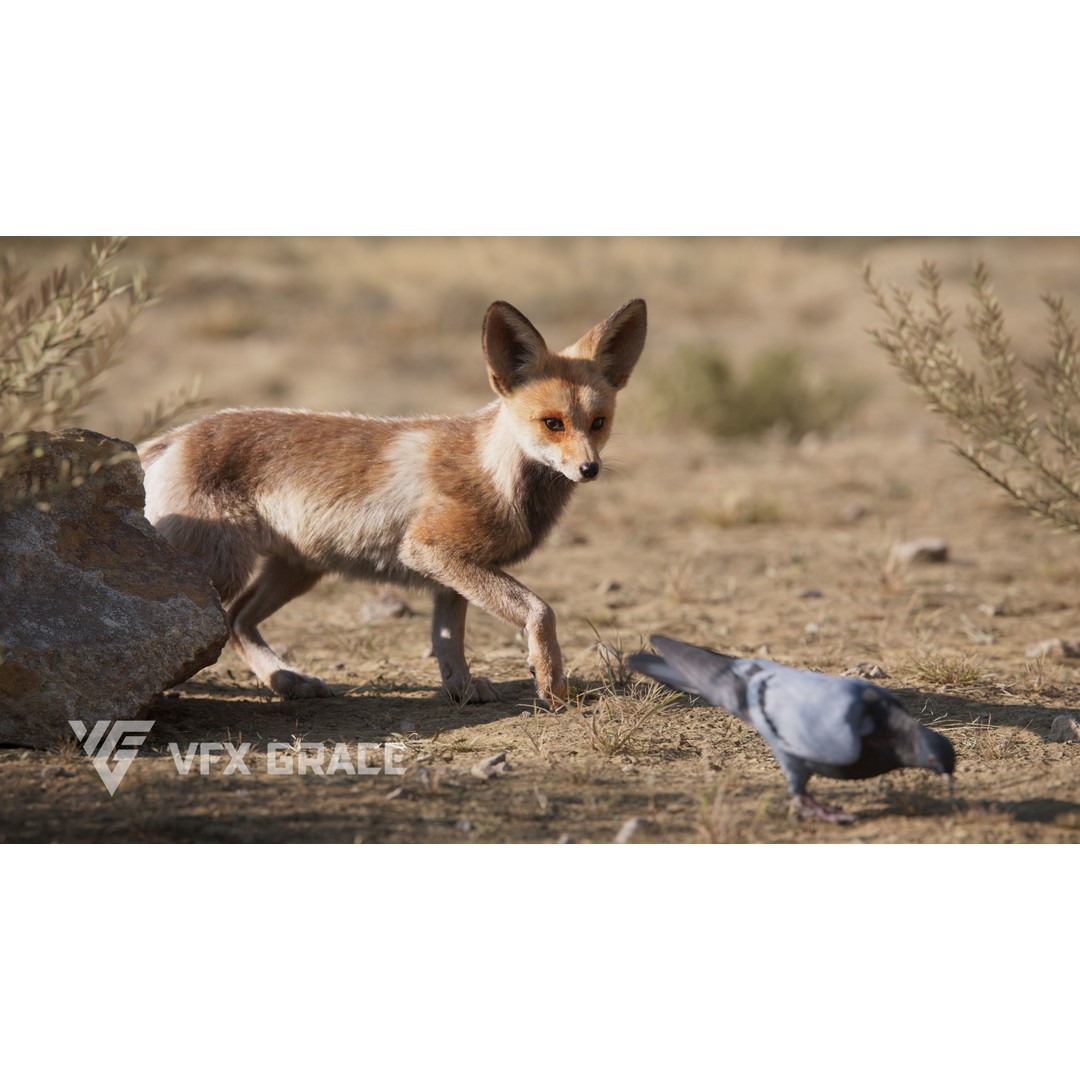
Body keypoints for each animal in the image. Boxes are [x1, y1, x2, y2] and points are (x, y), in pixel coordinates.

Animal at [138, 298, 647, 709]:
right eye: (552, 423)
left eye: (598, 422)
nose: (589, 469)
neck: (497, 473)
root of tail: (177, 435)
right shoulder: (429, 549)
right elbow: (540, 610)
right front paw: (551, 681)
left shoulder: (453, 573)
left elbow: (449, 643)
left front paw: (462, 690)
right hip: (223, 572)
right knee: (210, 624)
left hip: (296, 571)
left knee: (240, 621)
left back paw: (286, 680)